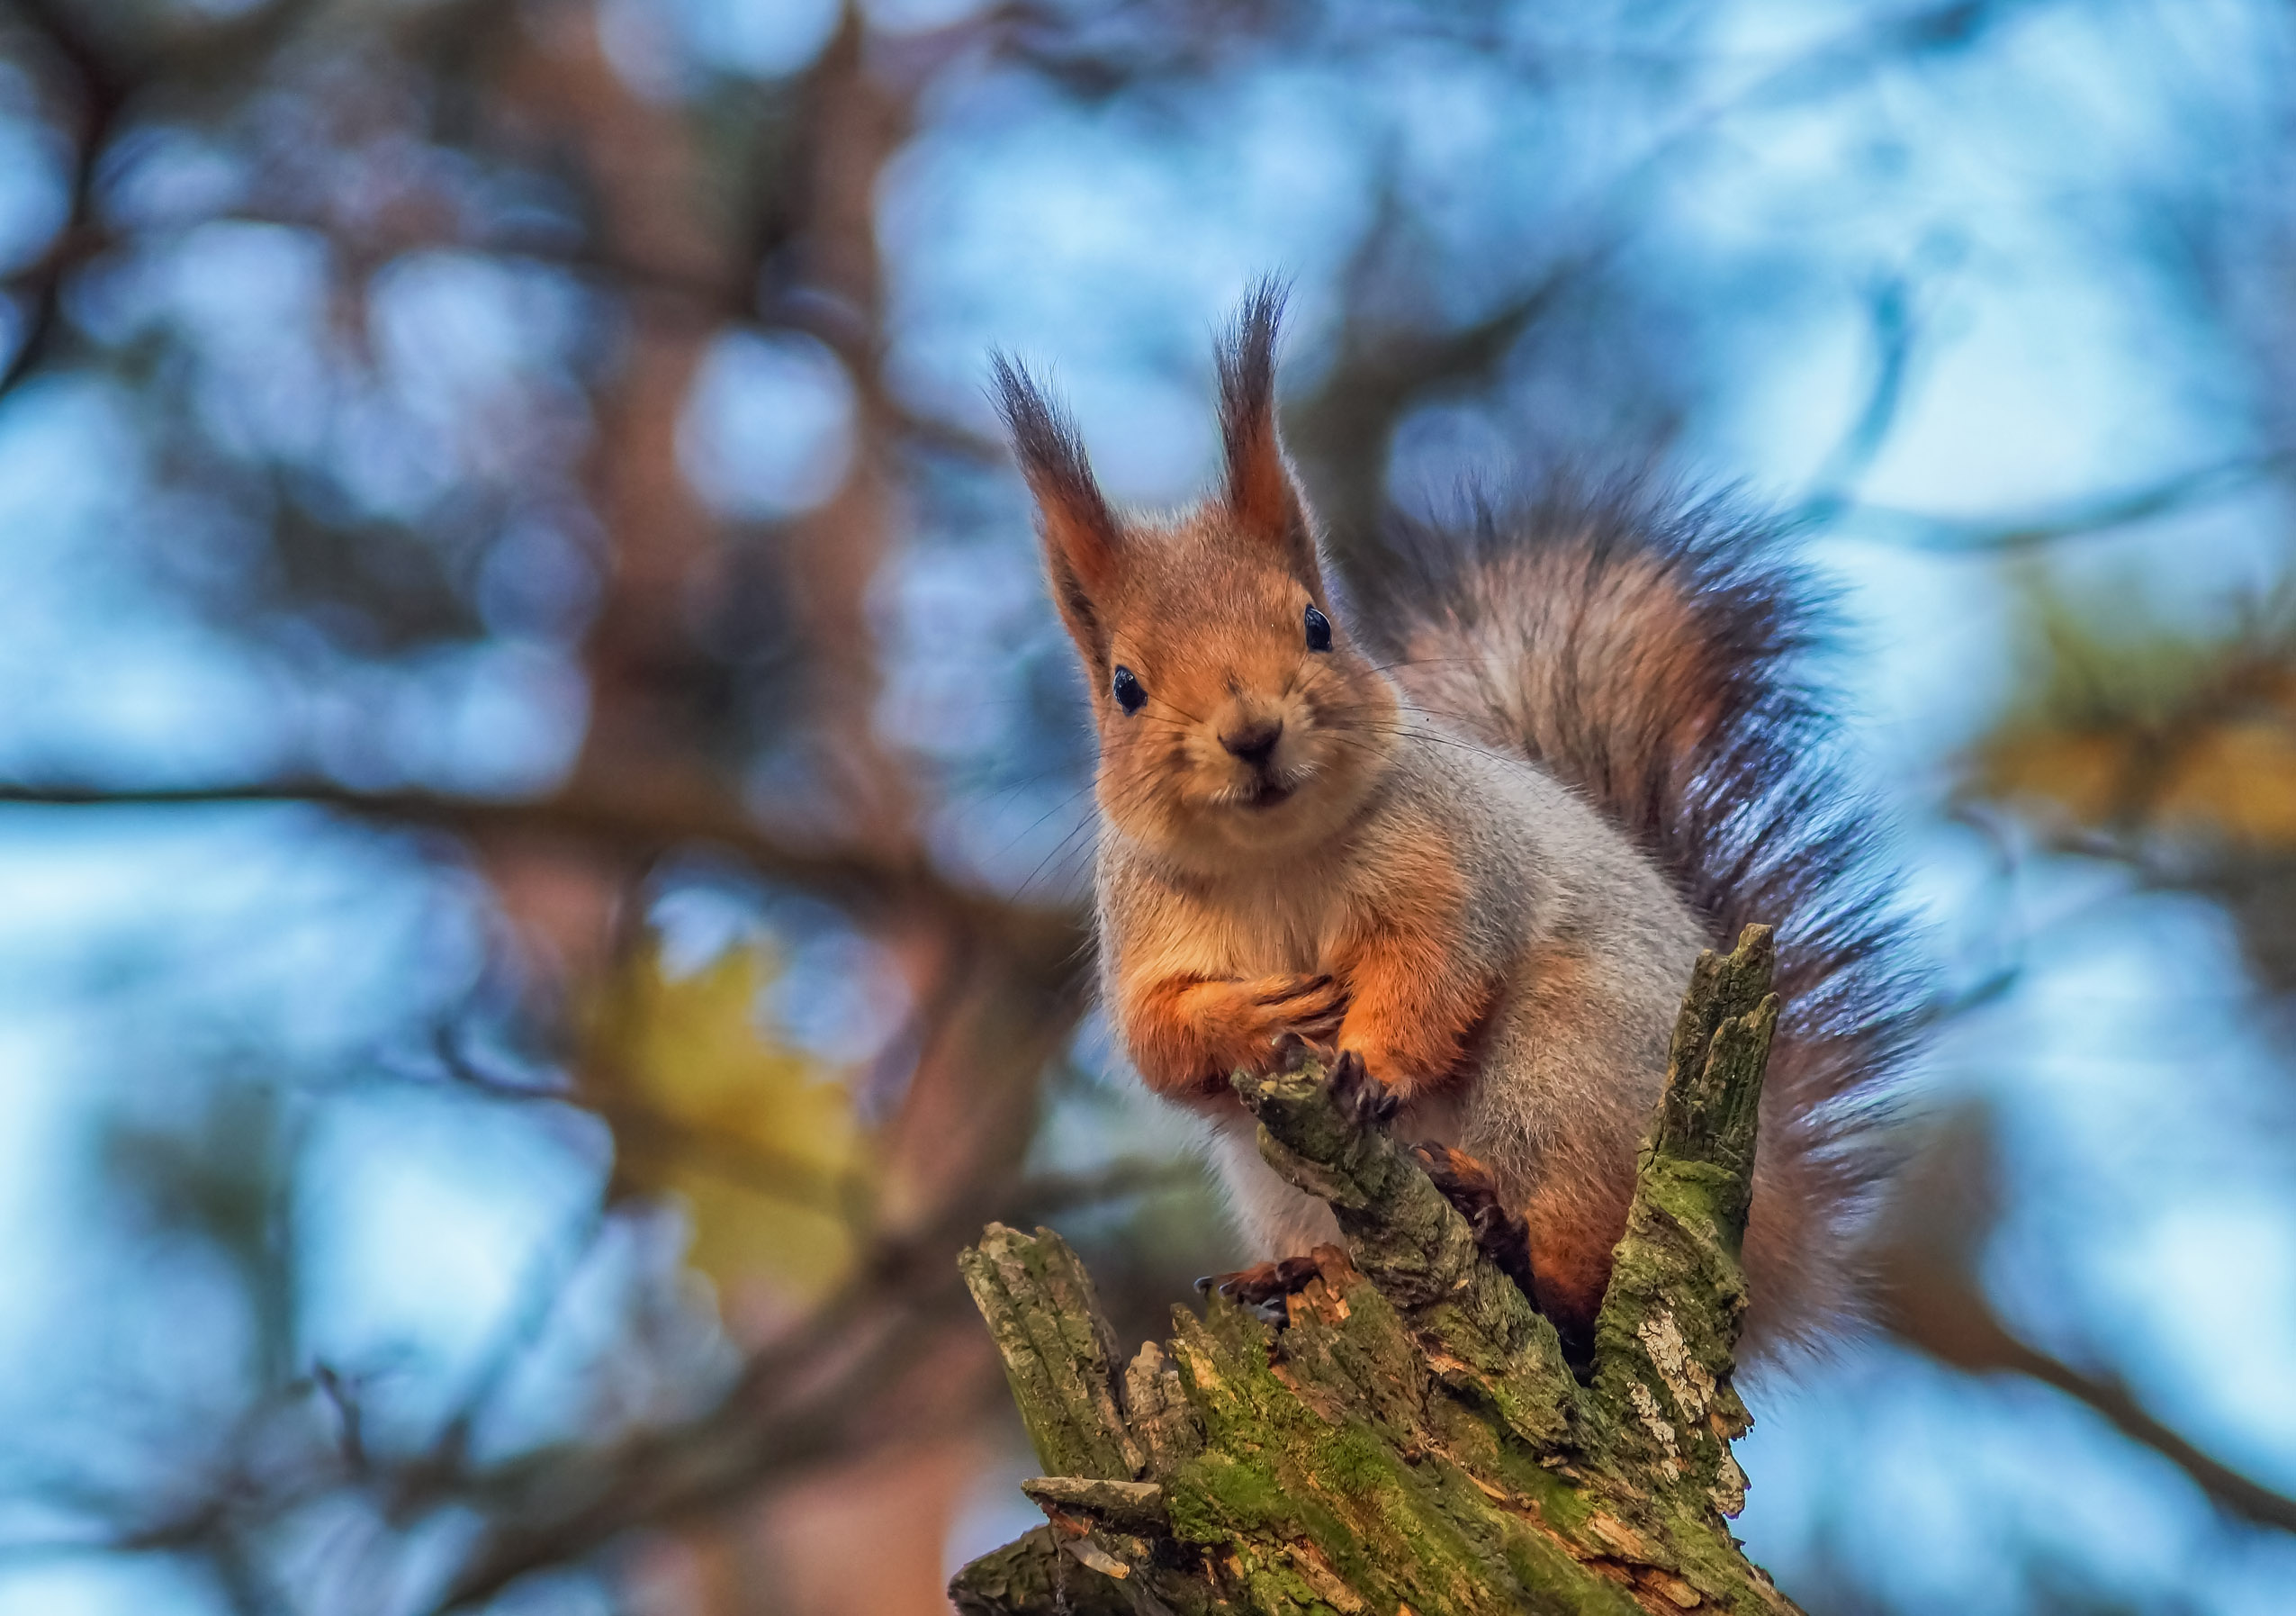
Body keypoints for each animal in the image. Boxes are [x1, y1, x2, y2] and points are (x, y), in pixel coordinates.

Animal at [986, 284, 1919, 1359]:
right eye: (1124, 686)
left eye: (1317, 625)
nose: (1252, 733)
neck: (1276, 856)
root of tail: (1762, 1241)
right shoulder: (1144, 926)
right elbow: (1158, 1040)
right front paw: (1247, 1016)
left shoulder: (1455, 861)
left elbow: (1435, 968)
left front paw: (1373, 1064)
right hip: (1278, 1174)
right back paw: (1300, 1269)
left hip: (1569, 1075)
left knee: (1578, 1271)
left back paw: (1515, 1242)